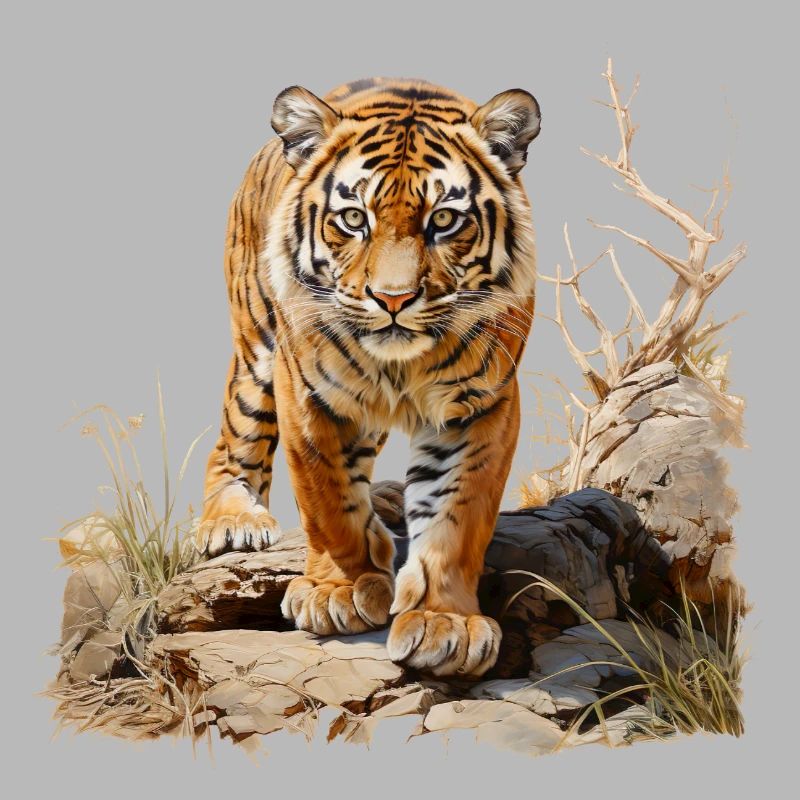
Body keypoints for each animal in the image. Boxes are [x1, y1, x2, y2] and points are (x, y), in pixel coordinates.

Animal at [196, 77, 540, 678]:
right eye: (354, 219)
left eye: (444, 220)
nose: (393, 299)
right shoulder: (306, 392)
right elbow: (327, 498)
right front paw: (339, 590)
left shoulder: (483, 404)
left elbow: (458, 515)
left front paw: (445, 623)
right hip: (255, 347)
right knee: (236, 437)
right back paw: (232, 520)